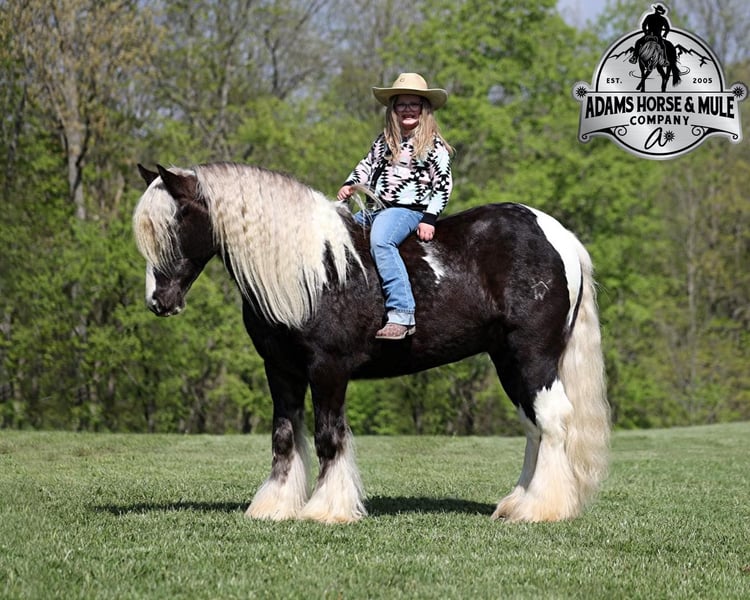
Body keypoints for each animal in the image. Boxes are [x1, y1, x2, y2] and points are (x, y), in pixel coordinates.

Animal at [133, 162, 610, 524]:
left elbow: (328, 436)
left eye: (175, 221)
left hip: (533, 356)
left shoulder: (328, 368)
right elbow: (284, 436)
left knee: (553, 420)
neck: (315, 270)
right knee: (534, 425)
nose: (159, 301)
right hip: (507, 360)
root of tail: (560, 236)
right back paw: (517, 503)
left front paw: (325, 510)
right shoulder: (281, 370)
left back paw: (541, 509)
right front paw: (275, 506)